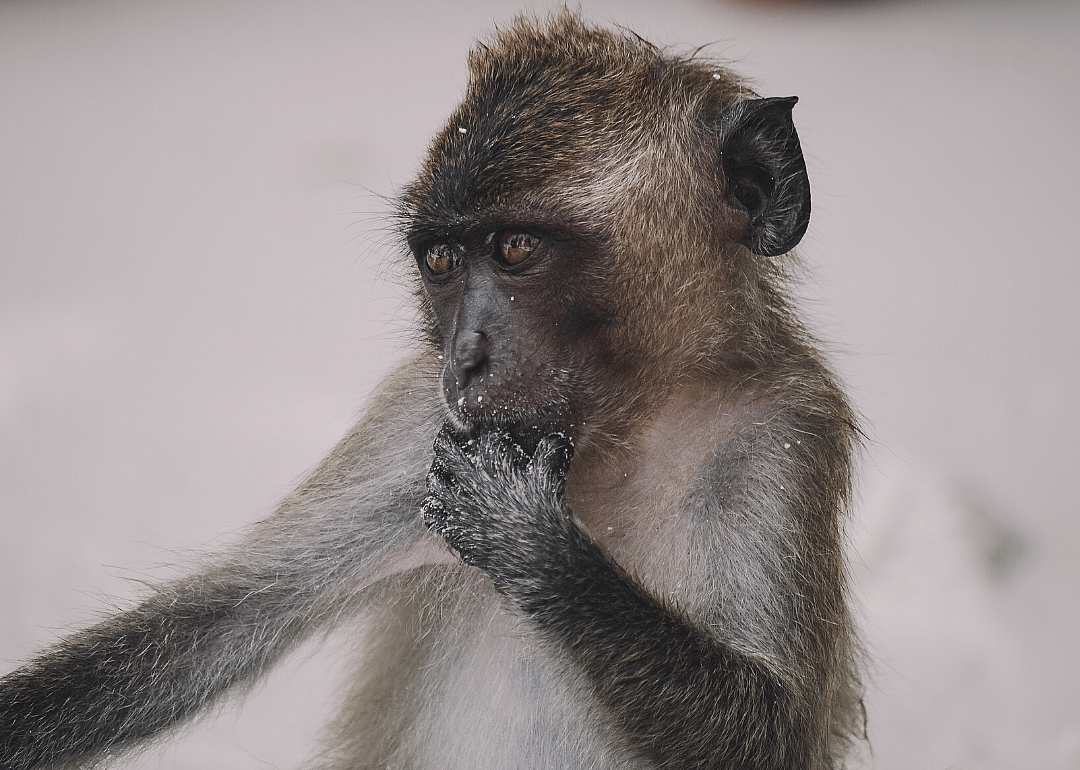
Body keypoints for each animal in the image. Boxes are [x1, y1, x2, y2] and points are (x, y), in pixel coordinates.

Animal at [0, 12, 862, 770]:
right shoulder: (414, 426)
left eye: (513, 249)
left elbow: (775, 729)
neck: (622, 427)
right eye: (442, 260)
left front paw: (532, 541)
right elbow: (214, 623)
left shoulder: (782, 433)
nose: (464, 358)